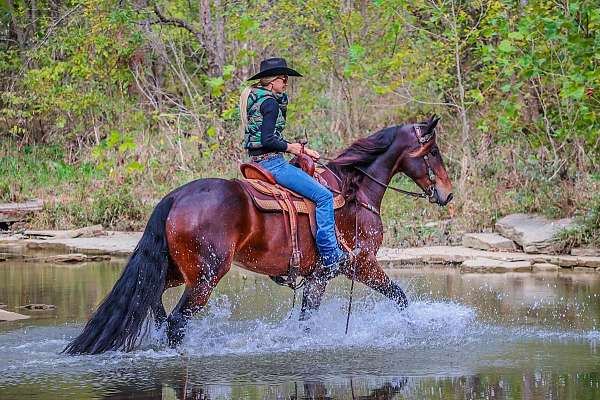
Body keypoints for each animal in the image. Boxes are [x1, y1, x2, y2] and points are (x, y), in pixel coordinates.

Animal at [63, 115, 452, 354]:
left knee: (154, 303)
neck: (353, 192)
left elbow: (306, 321)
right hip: (205, 278)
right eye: (433, 151)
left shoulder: (318, 277)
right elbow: (400, 296)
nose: (447, 194)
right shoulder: (359, 264)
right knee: (176, 322)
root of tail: (176, 197)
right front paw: (412, 329)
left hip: (175, 271)